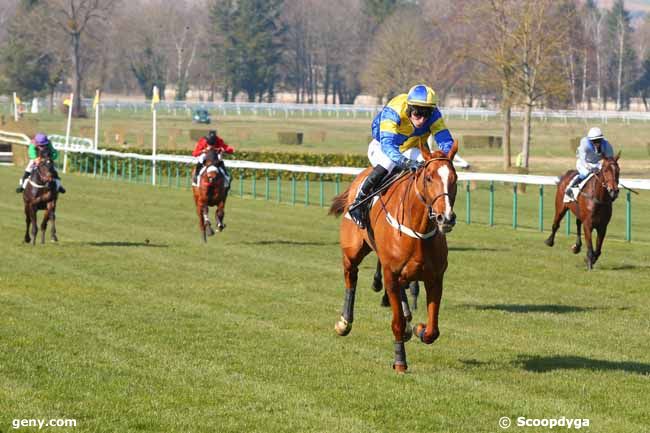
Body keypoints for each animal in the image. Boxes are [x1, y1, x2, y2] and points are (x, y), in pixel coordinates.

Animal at [326, 142, 458, 372]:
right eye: (429, 177)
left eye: (455, 178)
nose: (446, 218)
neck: (419, 230)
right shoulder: (390, 274)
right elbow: (396, 323)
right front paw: (400, 361)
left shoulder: (435, 278)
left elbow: (433, 330)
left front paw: (419, 329)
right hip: (353, 251)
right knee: (351, 277)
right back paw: (344, 322)